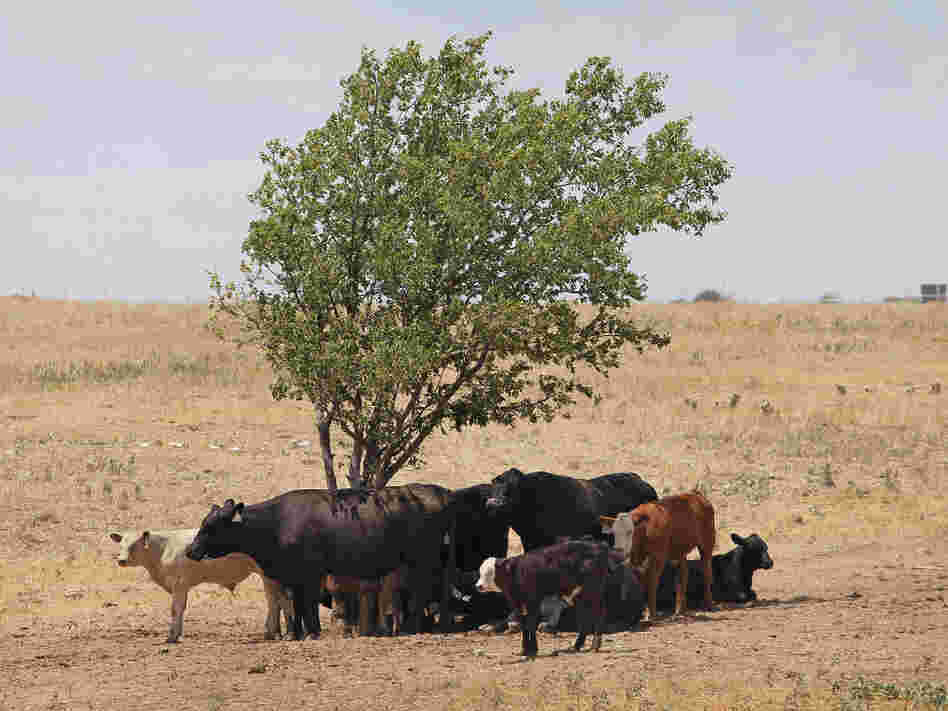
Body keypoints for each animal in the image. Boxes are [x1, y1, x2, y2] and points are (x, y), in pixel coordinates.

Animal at [109, 529, 293, 643]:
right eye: (121, 544)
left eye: (134, 545)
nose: (121, 560)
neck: (163, 548)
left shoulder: (179, 584)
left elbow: (176, 609)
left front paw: (172, 636)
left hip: (267, 576)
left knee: (276, 601)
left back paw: (276, 633)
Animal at [185, 485, 457, 641]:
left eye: (211, 526)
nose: (190, 550)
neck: (275, 522)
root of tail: (439, 492)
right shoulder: (293, 576)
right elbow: (295, 605)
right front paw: (296, 633)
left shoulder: (308, 574)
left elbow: (306, 605)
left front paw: (310, 632)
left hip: (425, 559)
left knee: (425, 591)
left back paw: (416, 627)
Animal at [475, 540, 612, 658]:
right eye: (480, 572)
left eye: (491, 572)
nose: (478, 586)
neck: (517, 573)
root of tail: (599, 546)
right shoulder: (517, 603)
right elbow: (524, 624)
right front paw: (525, 650)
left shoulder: (533, 600)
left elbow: (531, 624)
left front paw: (532, 650)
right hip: (579, 594)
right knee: (585, 616)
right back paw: (576, 646)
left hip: (593, 589)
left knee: (599, 613)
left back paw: (595, 646)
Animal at [602, 491, 716, 622]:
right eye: (614, 533)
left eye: (630, 532)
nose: (618, 552)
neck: (644, 530)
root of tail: (696, 494)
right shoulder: (638, 561)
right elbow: (642, 582)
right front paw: (645, 612)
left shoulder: (658, 558)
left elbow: (652, 582)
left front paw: (652, 614)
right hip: (680, 550)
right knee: (683, 574)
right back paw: (679, 610)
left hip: (707, 543)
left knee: (707, 571)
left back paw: (708, 605)